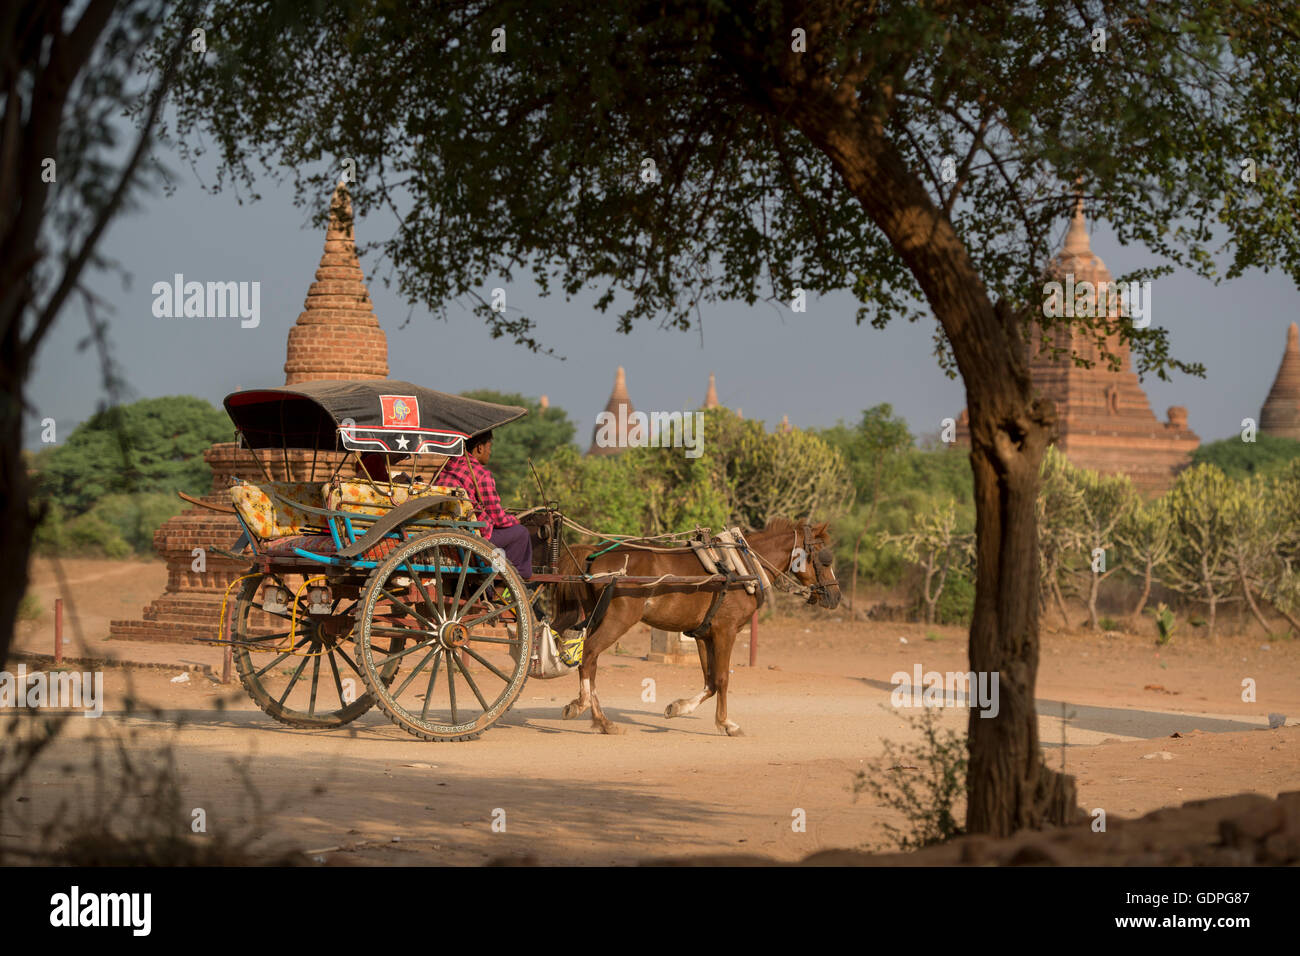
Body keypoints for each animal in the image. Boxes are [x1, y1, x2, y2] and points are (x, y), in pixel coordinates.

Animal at [540, 520, 837, 738]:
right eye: (825, 559)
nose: (836, 597)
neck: (742, 567)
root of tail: (592, 556)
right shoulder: (726, 631)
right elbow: (723, 679)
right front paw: (727, 724)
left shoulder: (704, 634)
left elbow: (710, 681)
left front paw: (678, 708)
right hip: (618, 620)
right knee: (589, 654)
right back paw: (596, 716)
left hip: (597, 616)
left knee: (589, 660)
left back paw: (591, 712)